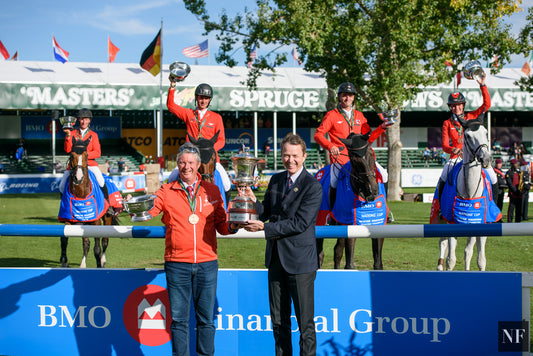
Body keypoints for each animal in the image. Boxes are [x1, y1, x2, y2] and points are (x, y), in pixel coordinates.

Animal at [57, 139, 117, 268]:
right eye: (71, 155)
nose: (78, 177)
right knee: (86, 243)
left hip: (107, 218)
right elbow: (64, 239)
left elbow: (97, 248)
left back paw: (103, 261)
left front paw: (99, 263)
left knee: (105, 241)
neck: (81, 194)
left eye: (87, 155)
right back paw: (83, 264)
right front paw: (64, 261)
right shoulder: (69, 220)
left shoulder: (96, 222)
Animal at [316, 133, 386, 270]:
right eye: (354, 160)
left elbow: (378, 263)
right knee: (320, 253)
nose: (372, 190)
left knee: (337, 251)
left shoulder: (377, 223)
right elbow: (350, 264)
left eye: (371, 154)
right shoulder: (350, 225)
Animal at [430, 110, 500, 272]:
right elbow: (451, 259)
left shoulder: (478, 223)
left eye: (486, 132)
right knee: (443, 243)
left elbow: (477, 257)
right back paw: (439, 266)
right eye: (468, 136)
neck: (470, 191)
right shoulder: (451, 223)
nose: (486, 159)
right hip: (441, 218)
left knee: (471, 251)